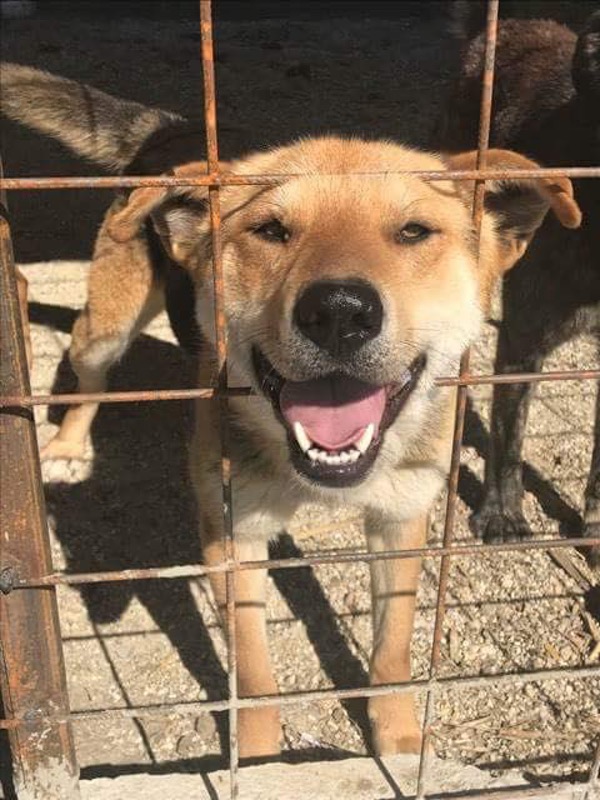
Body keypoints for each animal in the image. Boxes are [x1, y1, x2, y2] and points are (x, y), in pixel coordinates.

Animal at [0, 62, 580, 756]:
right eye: (271, 230)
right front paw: (257, 755)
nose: (339, 312)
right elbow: (253, 673)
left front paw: (398, 740)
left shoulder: (400, 522)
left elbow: (392, 650)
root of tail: (176, 128)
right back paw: (67, 446)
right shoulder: (233, 536)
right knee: (88, 371)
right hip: (107, 324)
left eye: (414, 232)